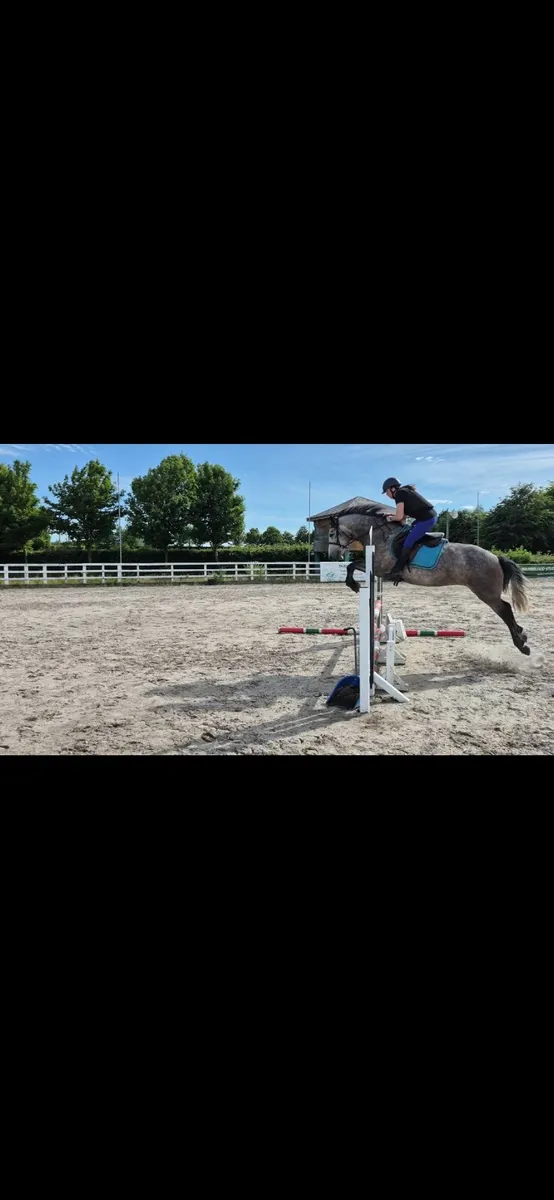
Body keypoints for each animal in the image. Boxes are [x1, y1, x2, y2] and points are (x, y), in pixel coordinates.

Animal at [329, 503, 530, 656]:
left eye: (331, 534)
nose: (333, 556)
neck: (379, 534)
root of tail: (496, 557)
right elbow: (351, 565)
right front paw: (353, 583)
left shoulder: (379, 568)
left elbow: (352, 565)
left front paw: (353, 585)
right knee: (506, 610)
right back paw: (522, 634)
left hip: (486, 593)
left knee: (505, 609)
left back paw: (521, 644)